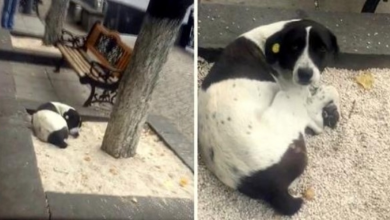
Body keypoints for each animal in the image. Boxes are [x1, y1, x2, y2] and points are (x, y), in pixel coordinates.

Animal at [200, 18, 340, 215]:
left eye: (321, 48)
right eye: (294, 47)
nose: (305, 74)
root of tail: (273, 188)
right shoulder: (298, 97)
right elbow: (330, 92)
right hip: (286, 101)